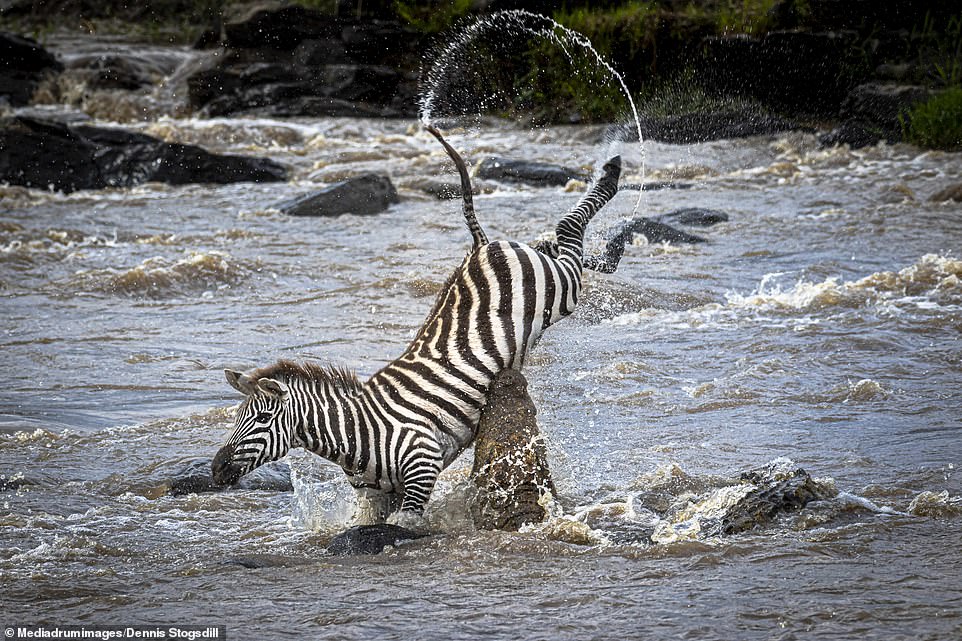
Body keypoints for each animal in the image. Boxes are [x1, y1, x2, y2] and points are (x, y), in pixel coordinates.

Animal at [212, 126, 621, 526]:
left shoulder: (421, 471)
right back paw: (612, 236)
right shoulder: (377, 496)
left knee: (568, 232)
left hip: (560, 289)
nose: (216, 469)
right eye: (237, 417)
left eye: (262, 418)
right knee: (553, 240)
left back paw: (613, 177)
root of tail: (480, 247)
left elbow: (404, 528)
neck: (358, 432)